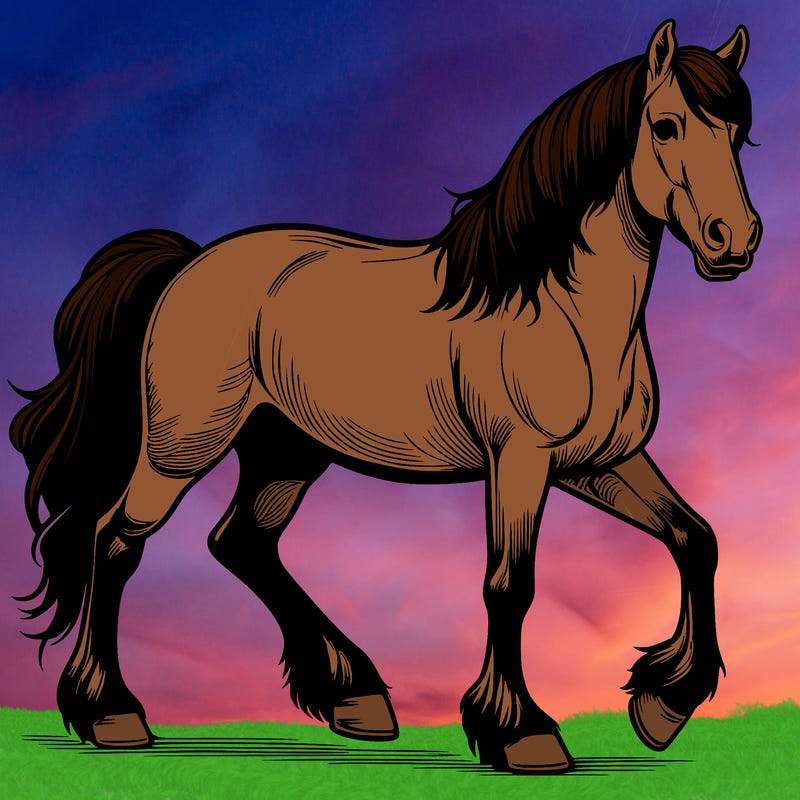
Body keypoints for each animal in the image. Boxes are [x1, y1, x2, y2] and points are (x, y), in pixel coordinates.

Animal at [10, 20, 760, 773]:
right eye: (665, 125)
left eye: (738, 133)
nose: (735, 239)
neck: (559, 307)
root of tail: (188, 264)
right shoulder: (520, 460)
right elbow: (510, 584)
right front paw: (522, 733)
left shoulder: (598, 463)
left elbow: (696, 538)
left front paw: (662, 707)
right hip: (182, 448)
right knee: (115, 541)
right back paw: (113, 715)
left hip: (287, 452)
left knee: (242, 542)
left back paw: (355, 697)